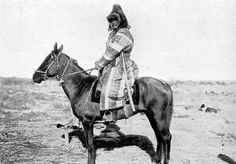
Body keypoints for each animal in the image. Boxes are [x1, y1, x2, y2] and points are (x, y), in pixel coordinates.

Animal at [32, 43, 173, 164]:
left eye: (49, 58)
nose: (34, 76)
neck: (81, 87)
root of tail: (164, 84)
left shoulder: (87, 122)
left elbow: (90, 146)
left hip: (158, 117)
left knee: (166, 137)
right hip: (152, 117)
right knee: (159, 136)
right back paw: (156, 159)